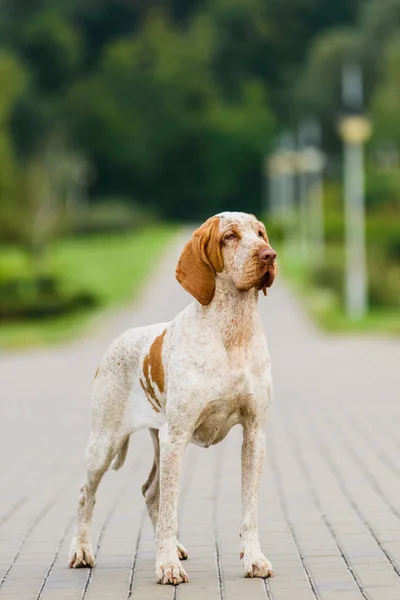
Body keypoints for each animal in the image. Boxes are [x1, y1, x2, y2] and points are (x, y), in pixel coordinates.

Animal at [67, 212, 276, 584]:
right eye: (230, 236)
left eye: (260, 233)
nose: (269, 255)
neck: (232, 333)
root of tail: (118, 341)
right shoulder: (176, 437)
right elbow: (169, 512)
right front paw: (166, 566)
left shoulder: (255, 435)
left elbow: (249, 511)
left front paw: (253, 558)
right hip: (105, 444)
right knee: (85, 494)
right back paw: (81, 551)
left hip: (156, 440)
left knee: (150, 491)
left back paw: (174, 548)